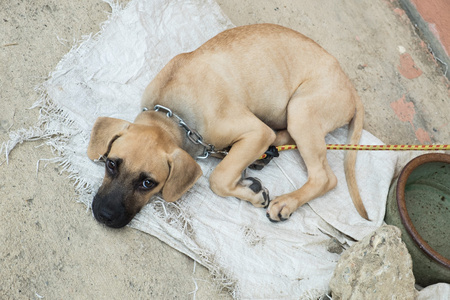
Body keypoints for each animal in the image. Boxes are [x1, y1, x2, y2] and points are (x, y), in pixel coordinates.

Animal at [86, 24, 368, 229]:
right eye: (111, 164)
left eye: (148, 183)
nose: (103, 215)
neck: (172, 115)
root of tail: (349, 85)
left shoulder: (256, 132)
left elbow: (218, 178)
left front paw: (253, 194)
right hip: (293, 114)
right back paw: (262, 156)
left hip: (301, 110)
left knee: (325, 177)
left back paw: (286, 202)